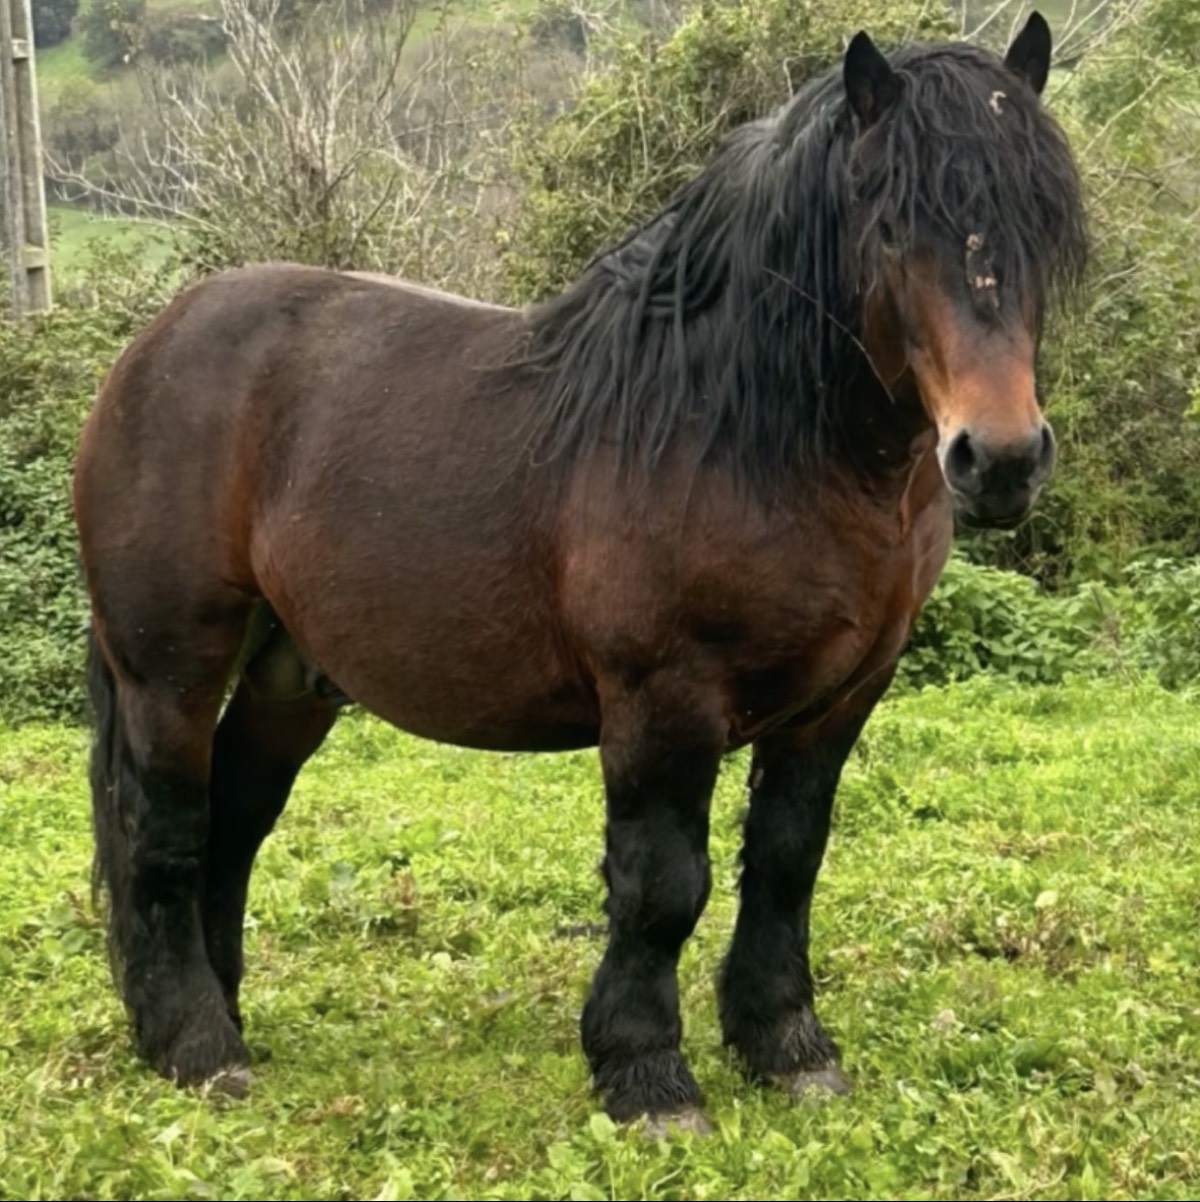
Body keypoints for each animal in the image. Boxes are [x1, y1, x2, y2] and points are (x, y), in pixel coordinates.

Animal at [73, 12, 1088, 1129]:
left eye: (1045, 227)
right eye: (892, 226)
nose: (999, 458)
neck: (741, 431)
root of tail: (155, 346)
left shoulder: (838, 701)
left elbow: (787, 860)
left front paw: (786, 1045)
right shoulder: (663, 697)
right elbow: (662, 882)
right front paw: (647, 1073)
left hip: (290, 677)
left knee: (235, 820)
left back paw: (221, 1015)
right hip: (169, 667)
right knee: (165, 828)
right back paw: (197, 1044)